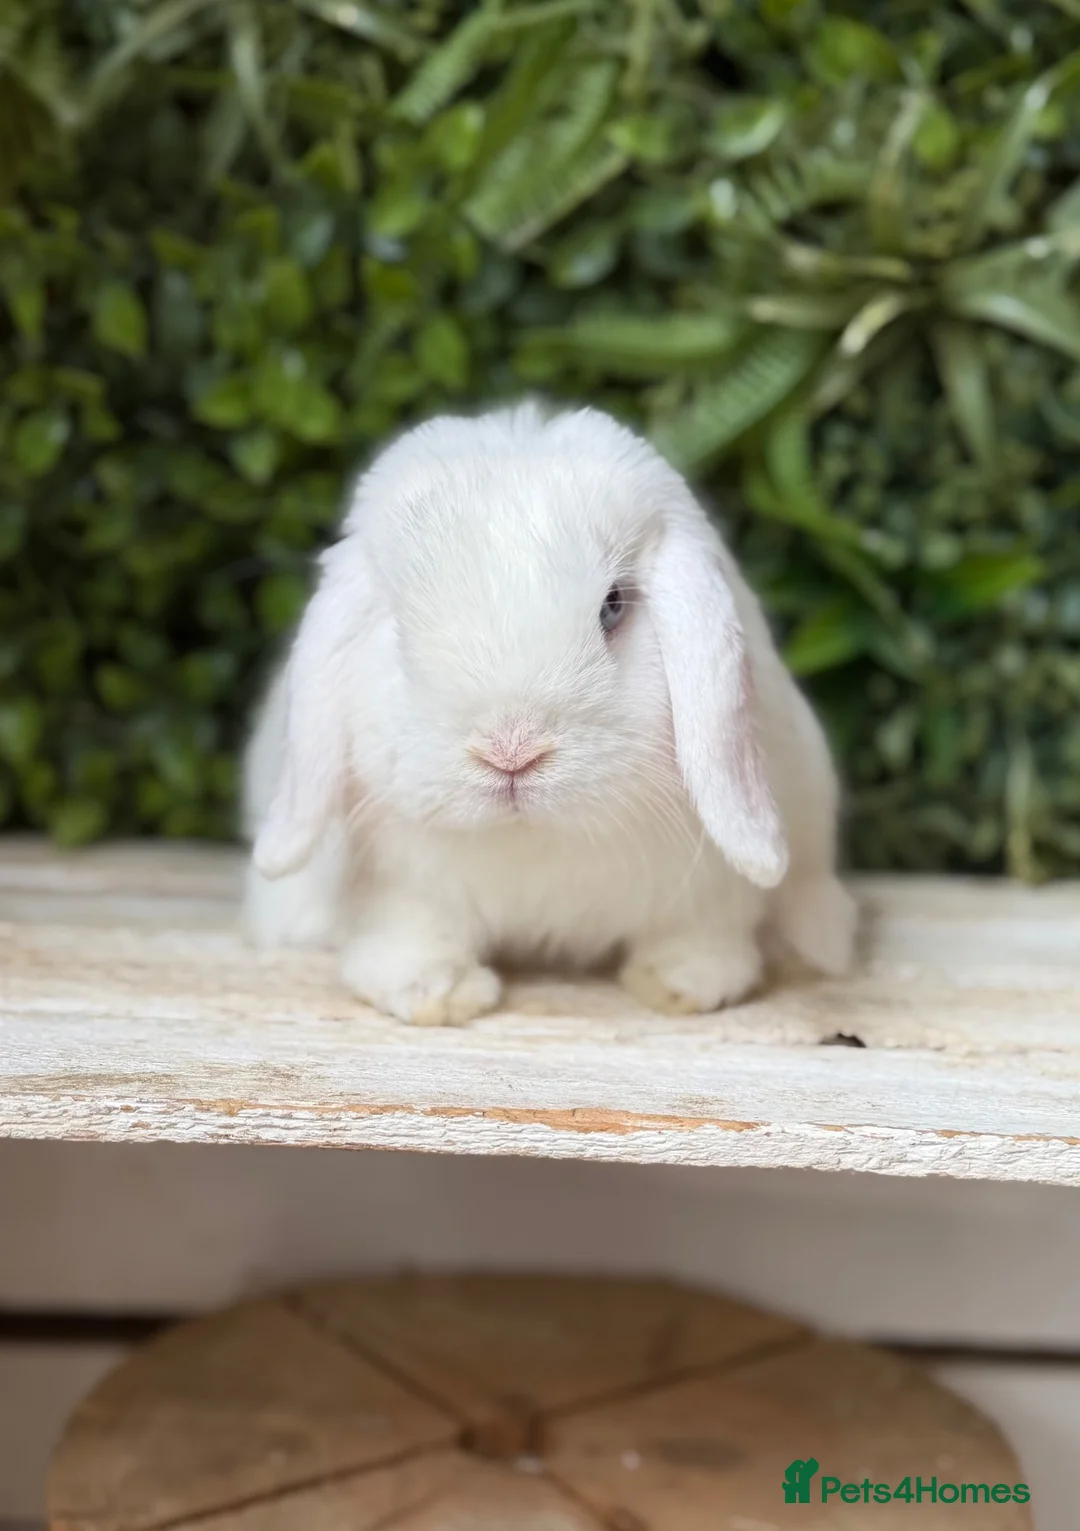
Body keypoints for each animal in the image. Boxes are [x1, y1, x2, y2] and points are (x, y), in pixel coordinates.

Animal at [242, 401, 857, 1024]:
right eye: (398, 625)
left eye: (614, 606)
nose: (510, 751)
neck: (536, 837)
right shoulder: (402, 890)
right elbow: (412, 933)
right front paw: (440, 995)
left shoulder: (712, 890)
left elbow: (702, 934)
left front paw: (681, 985)